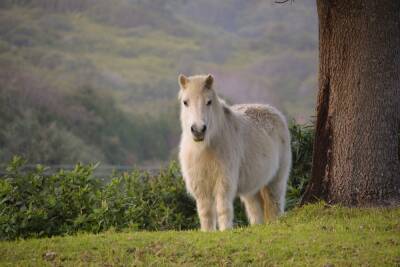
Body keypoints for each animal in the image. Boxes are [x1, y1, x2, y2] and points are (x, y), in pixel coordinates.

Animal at [178, 74, 290, 231]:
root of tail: (275, 112)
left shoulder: (224, 181)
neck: (206, 147)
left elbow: (223, 208)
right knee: (256, 210)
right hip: (252, 189)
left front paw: (225, 230)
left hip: (275, 180)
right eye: (185, 102)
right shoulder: (200, 185)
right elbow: (205, 212)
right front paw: (208, 232)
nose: (198, 130)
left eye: (209, 102)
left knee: (275, 205)